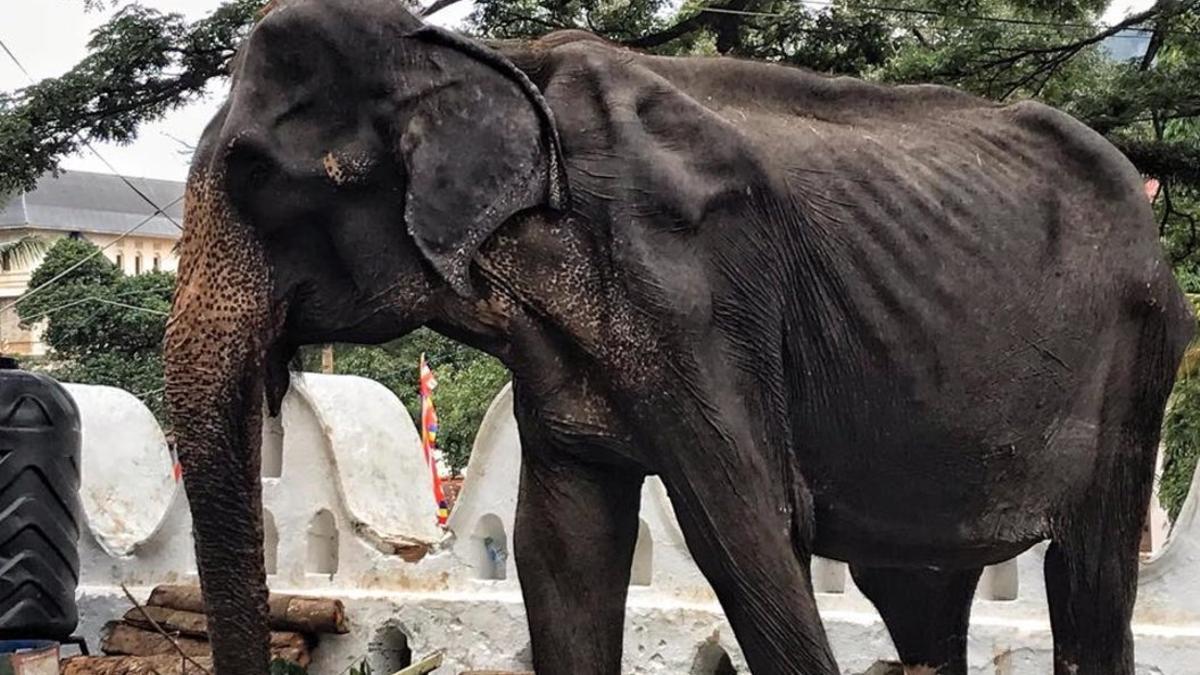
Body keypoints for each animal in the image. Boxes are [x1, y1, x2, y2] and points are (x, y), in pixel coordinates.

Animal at [164, 1, 1195, 672]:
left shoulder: (696, 293)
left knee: (1088, 577)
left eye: (253, 174)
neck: (495, 59)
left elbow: (744, 531)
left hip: (1138, 355)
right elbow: (559, 548)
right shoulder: (561, 349)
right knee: (916, 589)